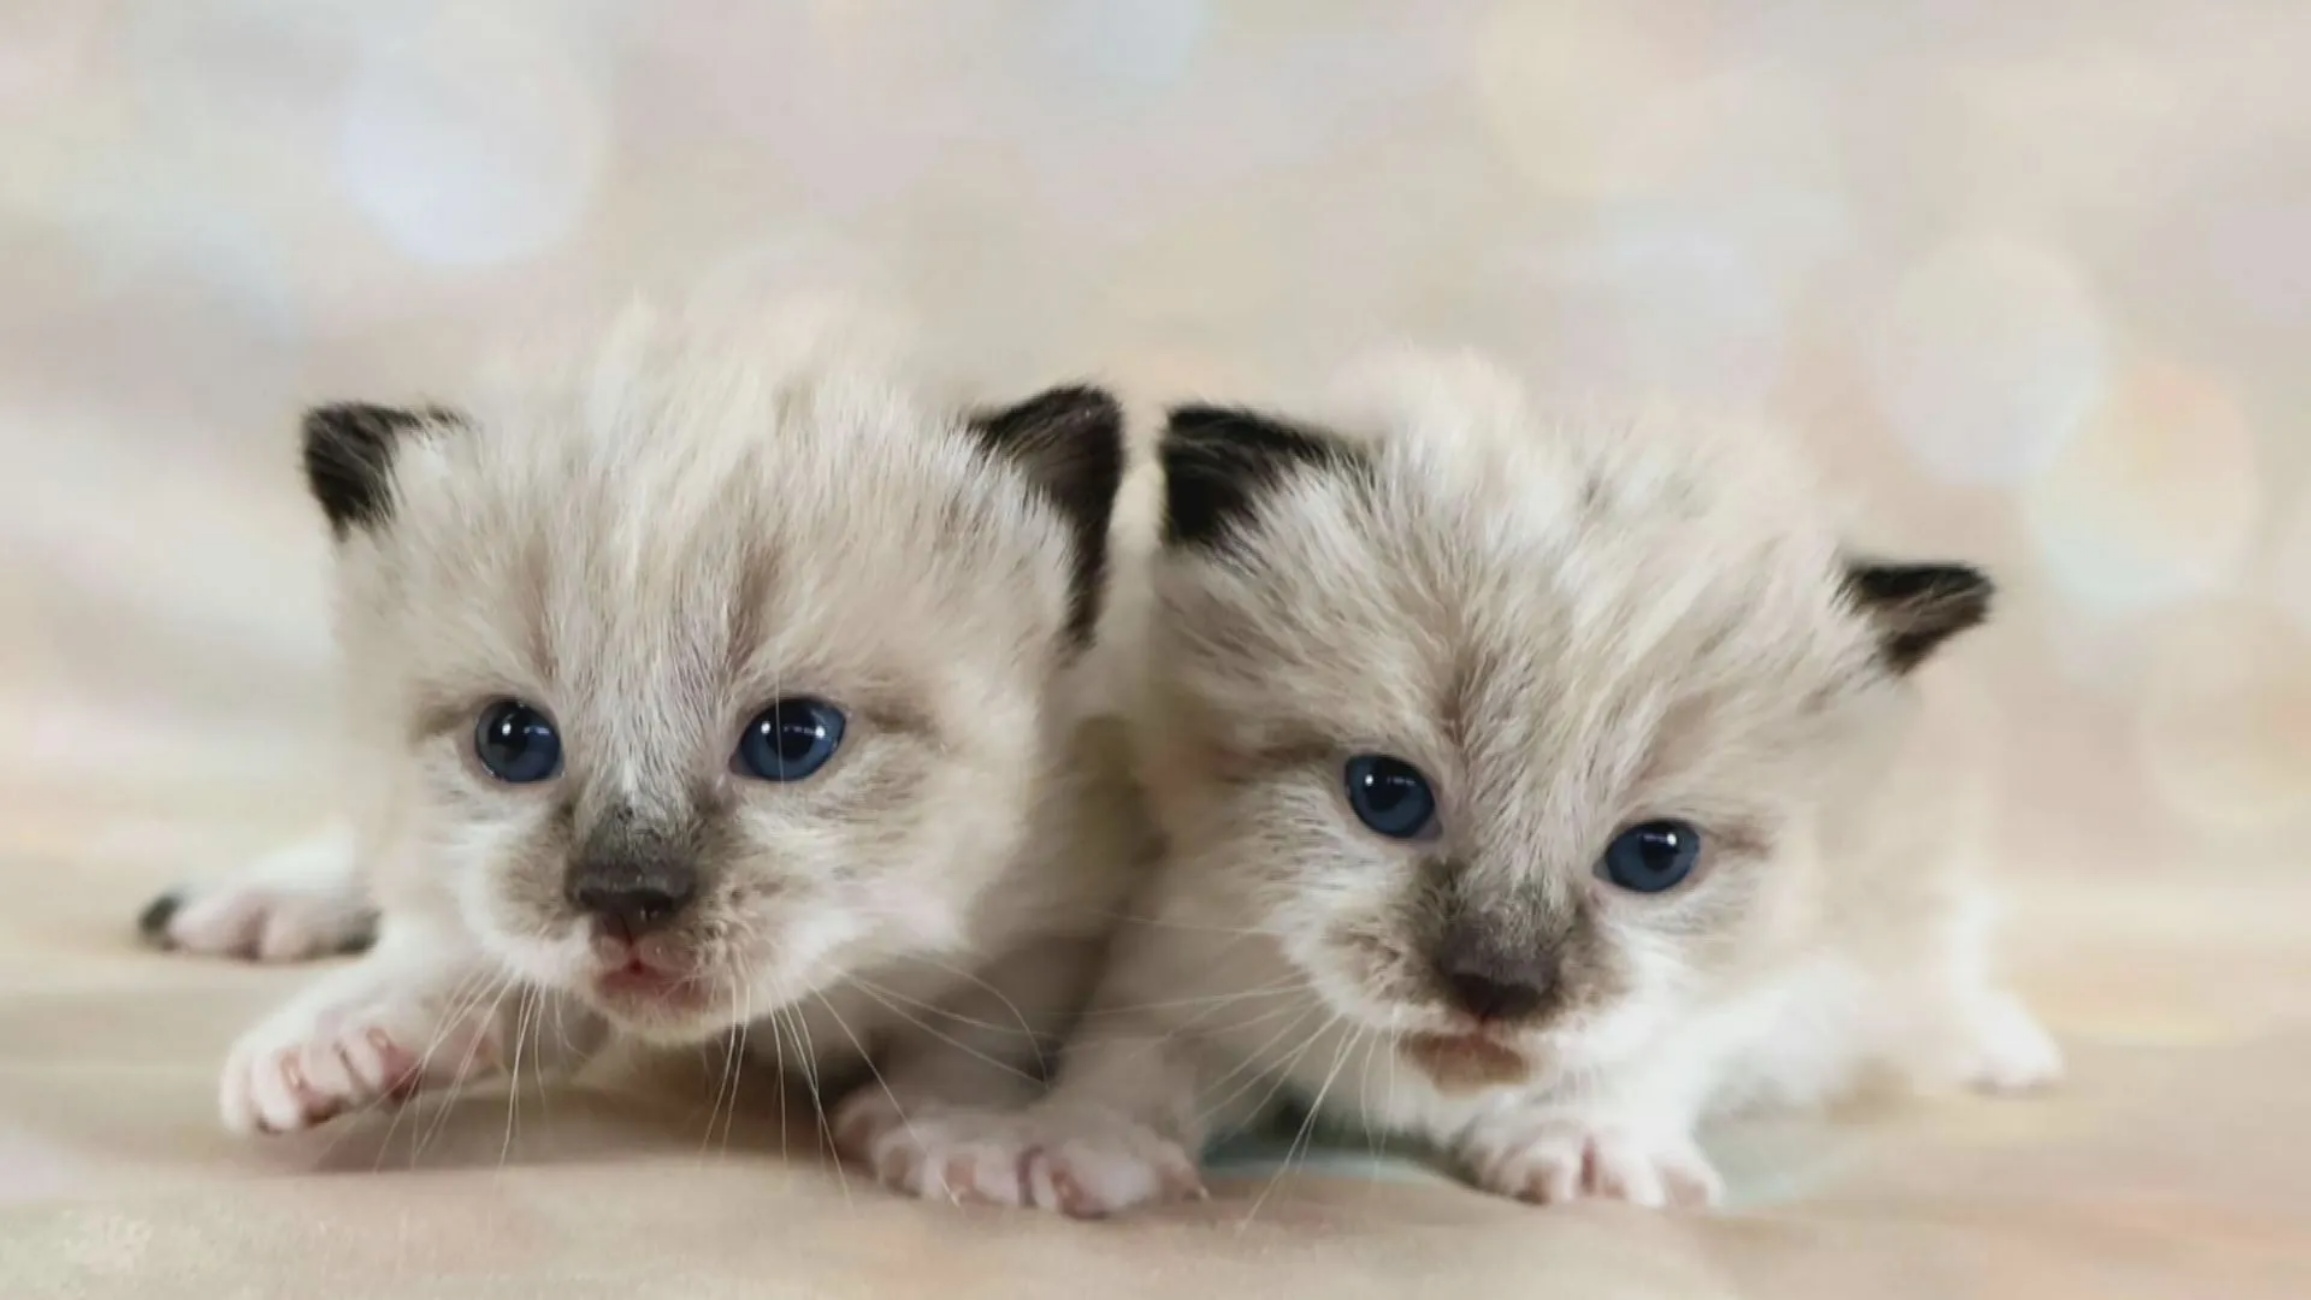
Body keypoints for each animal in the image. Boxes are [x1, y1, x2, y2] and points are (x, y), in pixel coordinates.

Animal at [146, 297, 1155, 1191]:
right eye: (513, 742)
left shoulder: (1065, 914)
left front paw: (951, 1130)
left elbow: (981, 1028)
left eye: (792, 741)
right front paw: (335, 1040)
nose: (624, 898)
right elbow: (463, 945)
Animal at [929, 350, 2070, 1219]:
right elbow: (1125, 1069)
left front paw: (1590, 1146)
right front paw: (1053, 1145)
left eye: (1656, 857)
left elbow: (1659, 1046)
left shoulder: (1760, 978)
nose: (1496, 990)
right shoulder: (1180, 969)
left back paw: (2004, 1048)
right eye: (1386, 796)